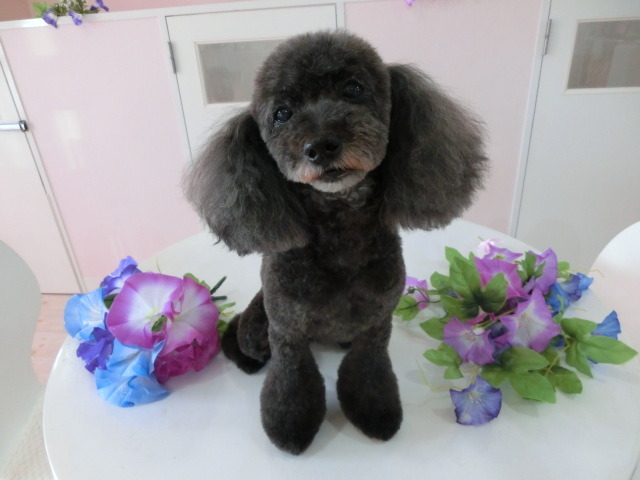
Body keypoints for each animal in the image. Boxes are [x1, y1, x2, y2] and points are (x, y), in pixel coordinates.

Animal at [183, 30, 487, 454]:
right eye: (282, 114)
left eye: (354, 89)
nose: (320, 146)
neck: (340, 225)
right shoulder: (287, 332)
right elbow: (292, 383)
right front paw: (290, 428)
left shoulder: (376, 324)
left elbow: (367, 372)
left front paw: (374, 413)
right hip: (257, 324)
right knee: (242, 338)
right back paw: (248, 359)